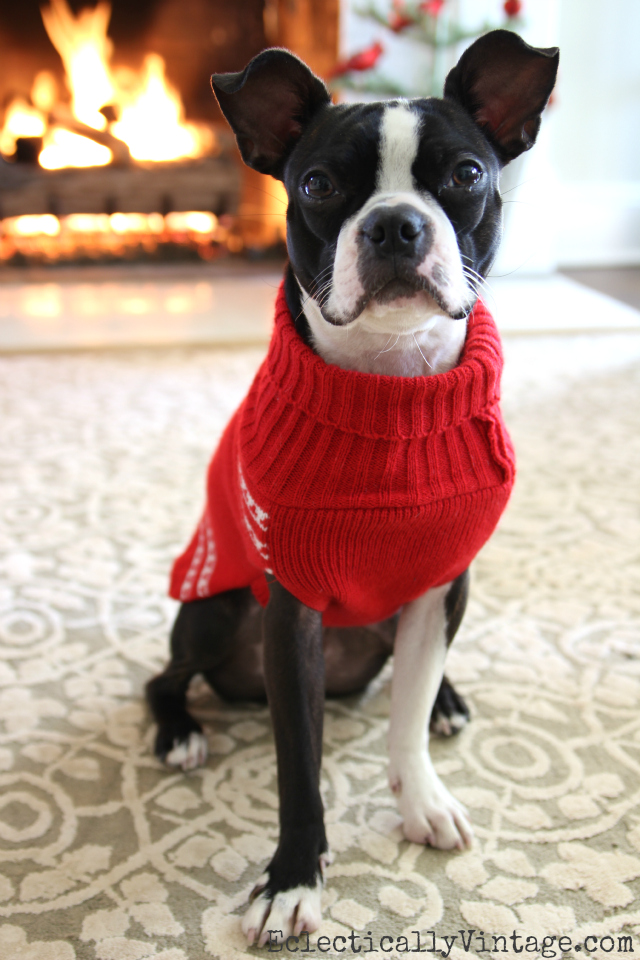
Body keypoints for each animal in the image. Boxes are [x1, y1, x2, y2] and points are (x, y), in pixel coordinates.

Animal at [148, 28, 556, 944]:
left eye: (467, 175)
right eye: (319, 186)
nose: (397, 224)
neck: (388, 386)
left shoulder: (442, 584)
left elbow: (404, 719)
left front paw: (423, 797)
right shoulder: (292, 606)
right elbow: (298, 764)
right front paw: (293, 879)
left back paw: (448, 702)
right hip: (213, 607)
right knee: (166, 677)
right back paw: (180, 733)